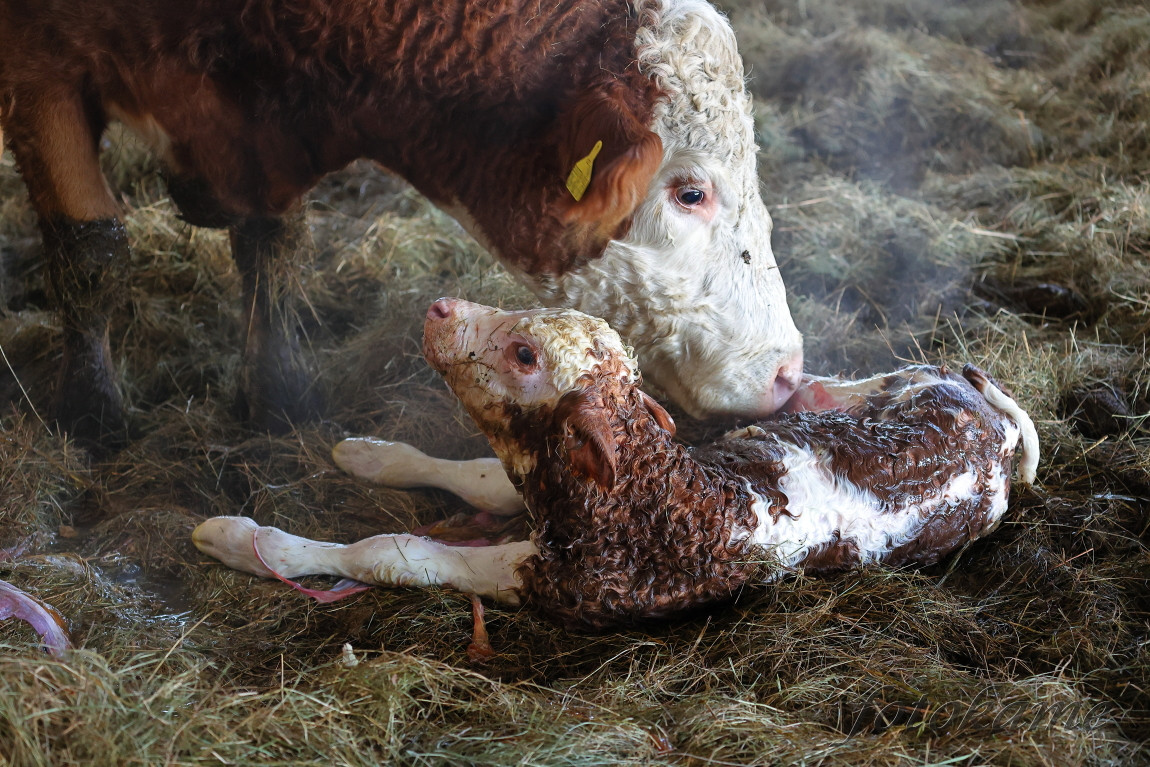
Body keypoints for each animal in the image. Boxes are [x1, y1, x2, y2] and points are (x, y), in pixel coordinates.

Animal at [0, 0, 805, 450]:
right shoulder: (39, 67)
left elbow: (268, 244)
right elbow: (91, 248)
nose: (788, 370)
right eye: (691, 191)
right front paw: (92, 414)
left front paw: (277, 395)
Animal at [193, 298, 1039, 630]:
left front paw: (242, 540)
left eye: (525, 355)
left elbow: (395, 551)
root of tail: (996, 424)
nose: (440, 308)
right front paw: (368, 454)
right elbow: (474, 473)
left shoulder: (556, 582)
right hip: (893, 386)